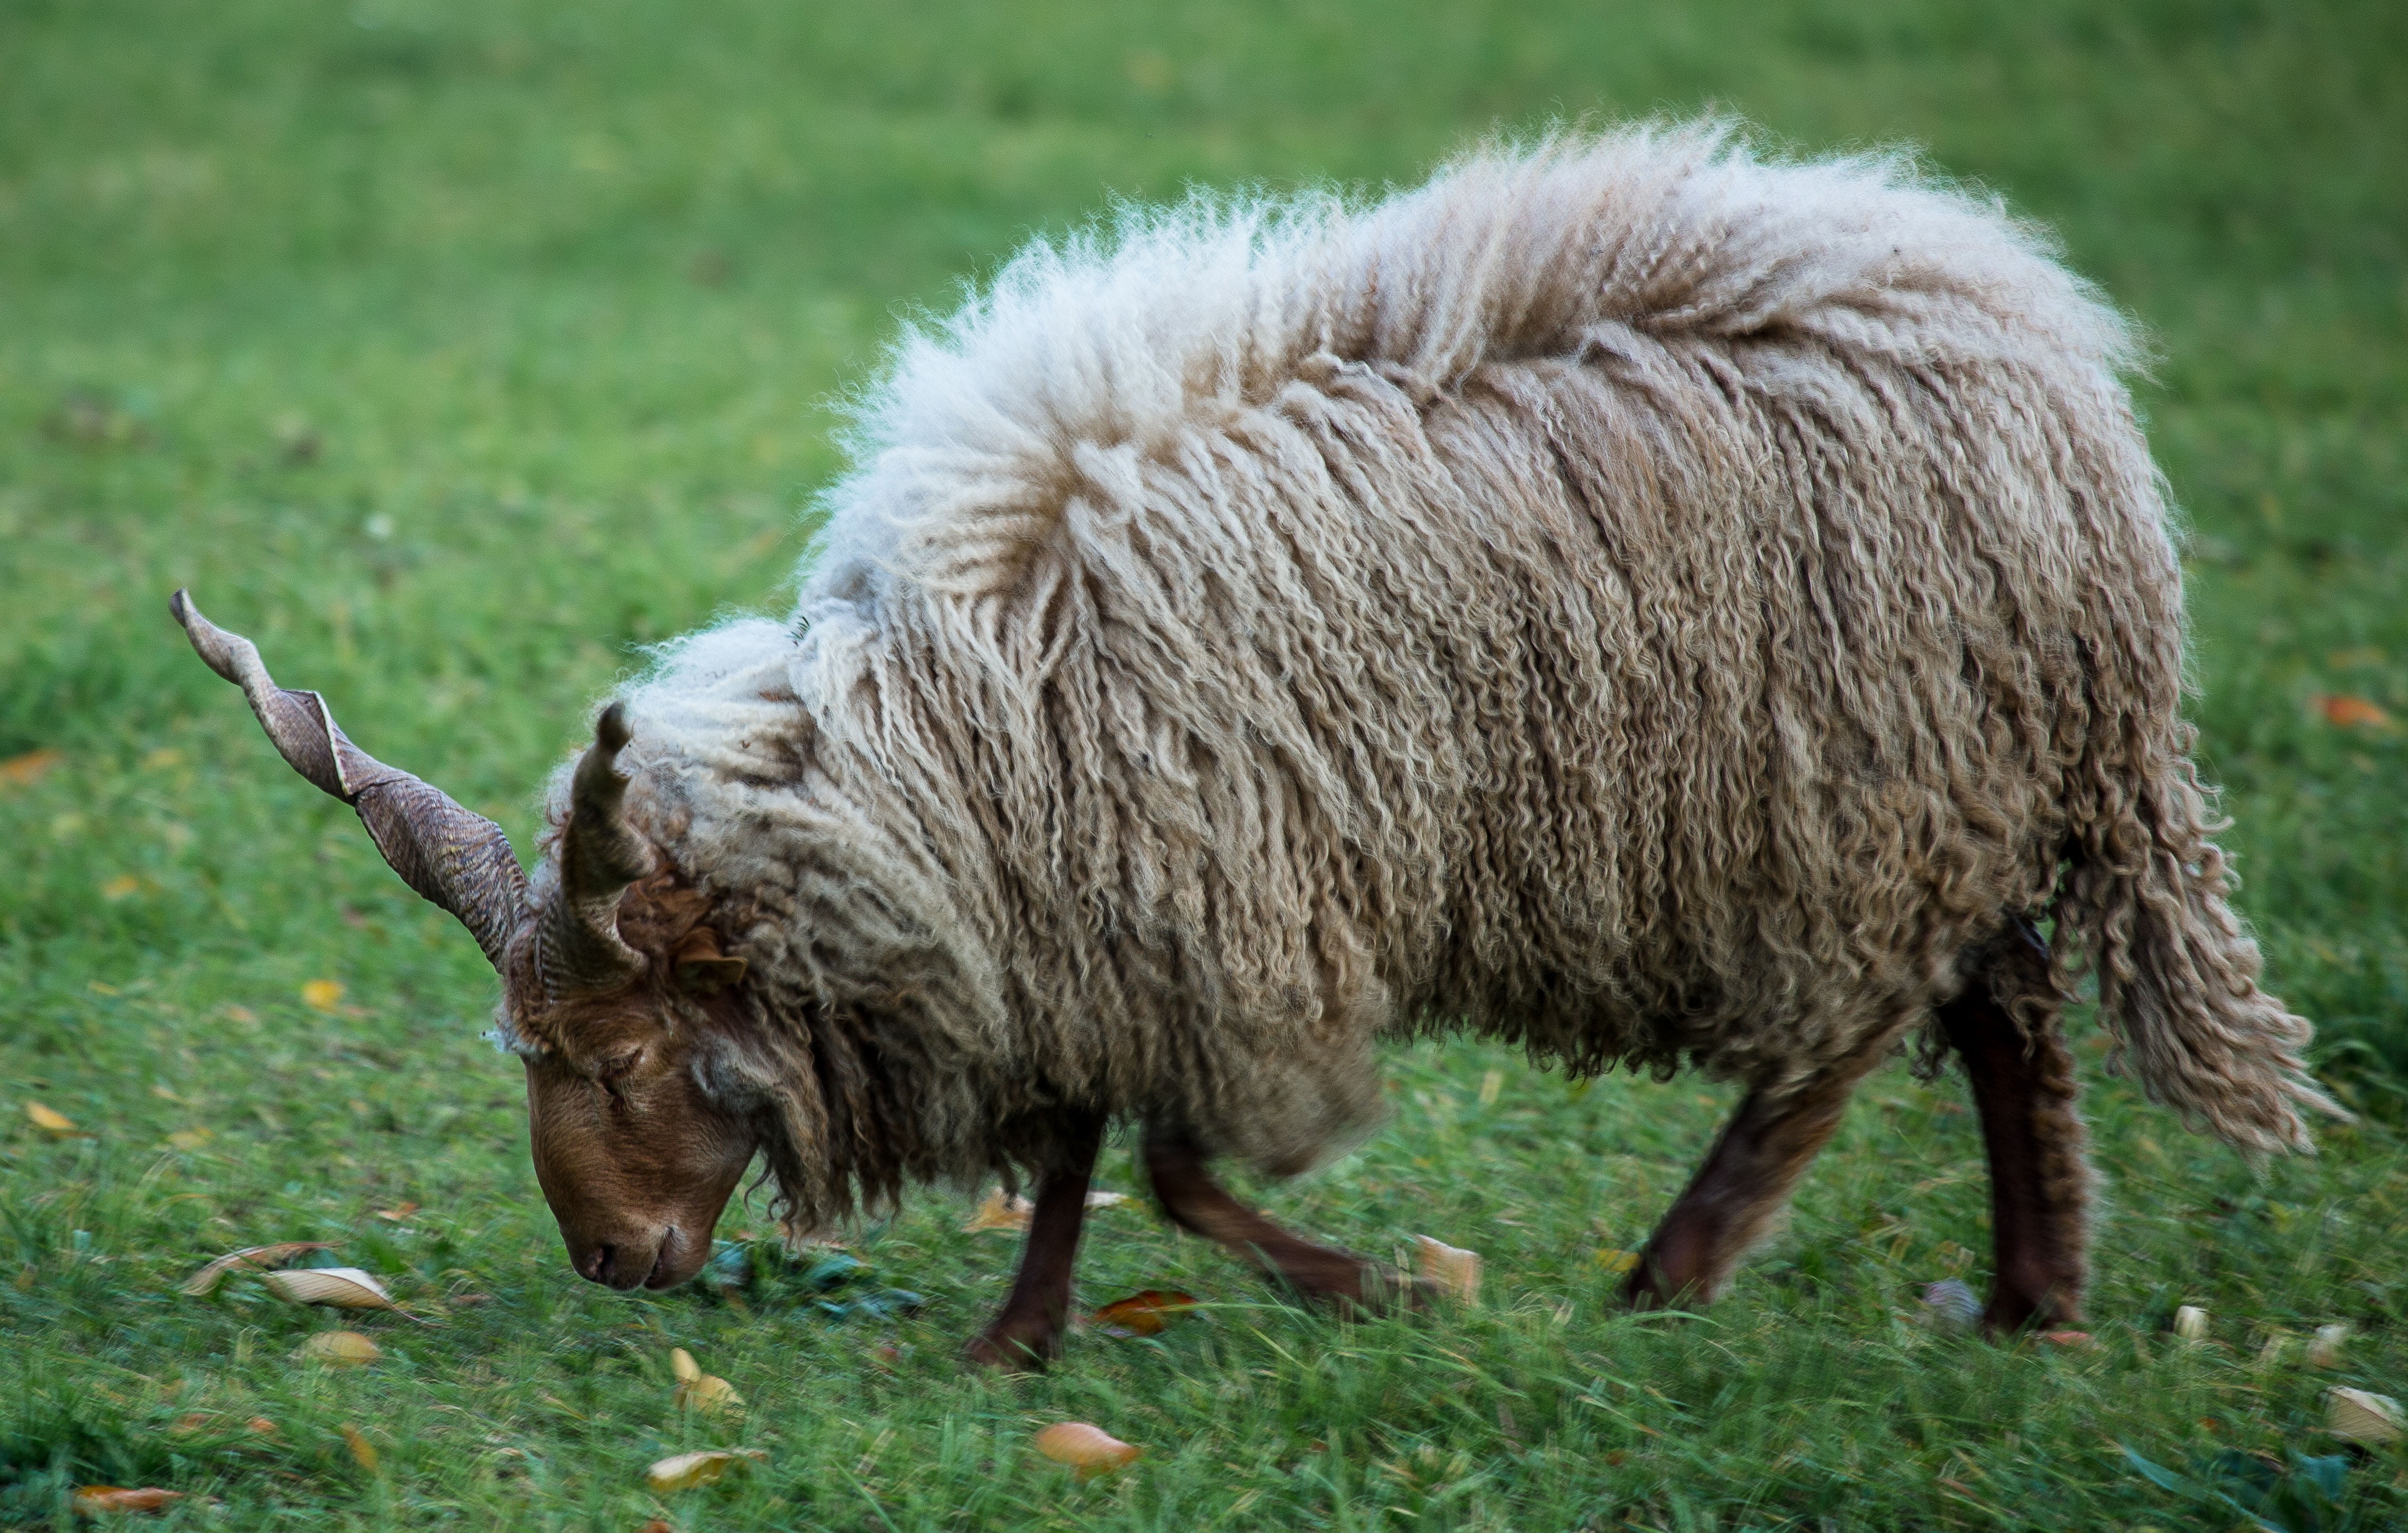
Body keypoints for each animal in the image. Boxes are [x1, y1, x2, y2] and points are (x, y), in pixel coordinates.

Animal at [175, 122, 2337, 1368]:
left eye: (618, 1055)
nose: (614, 1266)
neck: (951, 748)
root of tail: (2045, 353)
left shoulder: (1219, 899)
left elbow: (1175, 1169)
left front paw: (1366, 1287)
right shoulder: (1086, 916)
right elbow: (1081, 1146)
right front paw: (1021, 1342)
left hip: (1854, 802)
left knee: (1848, 1040)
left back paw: (1679, 1273)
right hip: (1935, 796)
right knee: (2011, 1013)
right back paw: (2032, 1298)